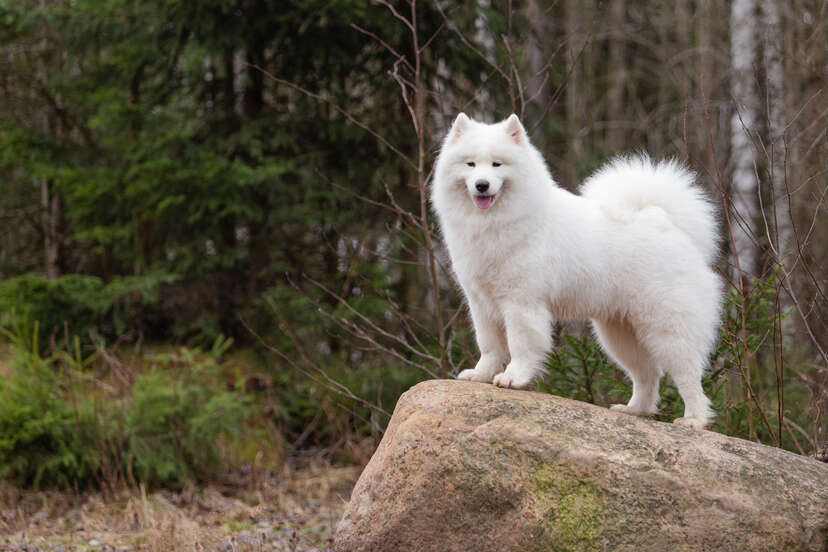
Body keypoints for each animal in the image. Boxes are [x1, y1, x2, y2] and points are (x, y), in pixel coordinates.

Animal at [430, 112, 720, 430]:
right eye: (470, 164)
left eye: (497, 164)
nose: (482, 185)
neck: (495, 223)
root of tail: (664, 220)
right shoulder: (481, 303)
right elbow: (489, 346)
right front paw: (480, 375)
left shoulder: (521, 303)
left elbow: (520, 344)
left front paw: (513, 378)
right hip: (620, 335)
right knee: (648, 375)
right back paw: (634, 410)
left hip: (667, 329)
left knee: (688, 375)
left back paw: (694, 419)